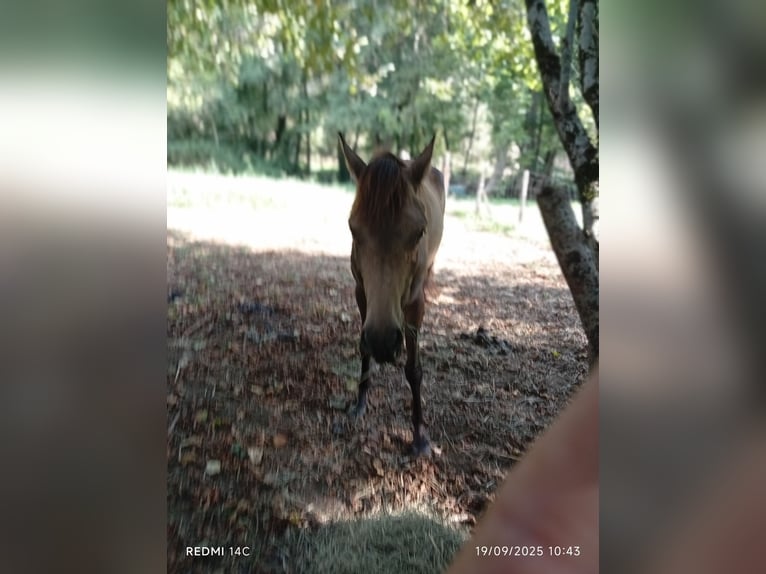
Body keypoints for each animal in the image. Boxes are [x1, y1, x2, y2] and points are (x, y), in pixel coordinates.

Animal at [338, 133, 445, 456]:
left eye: (419, 231)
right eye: (353, 229)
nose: (383, 341)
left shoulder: (414, 303)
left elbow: (414, 369)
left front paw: (419, 437)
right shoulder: (361, 292)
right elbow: (362, 350)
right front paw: (359, 404)